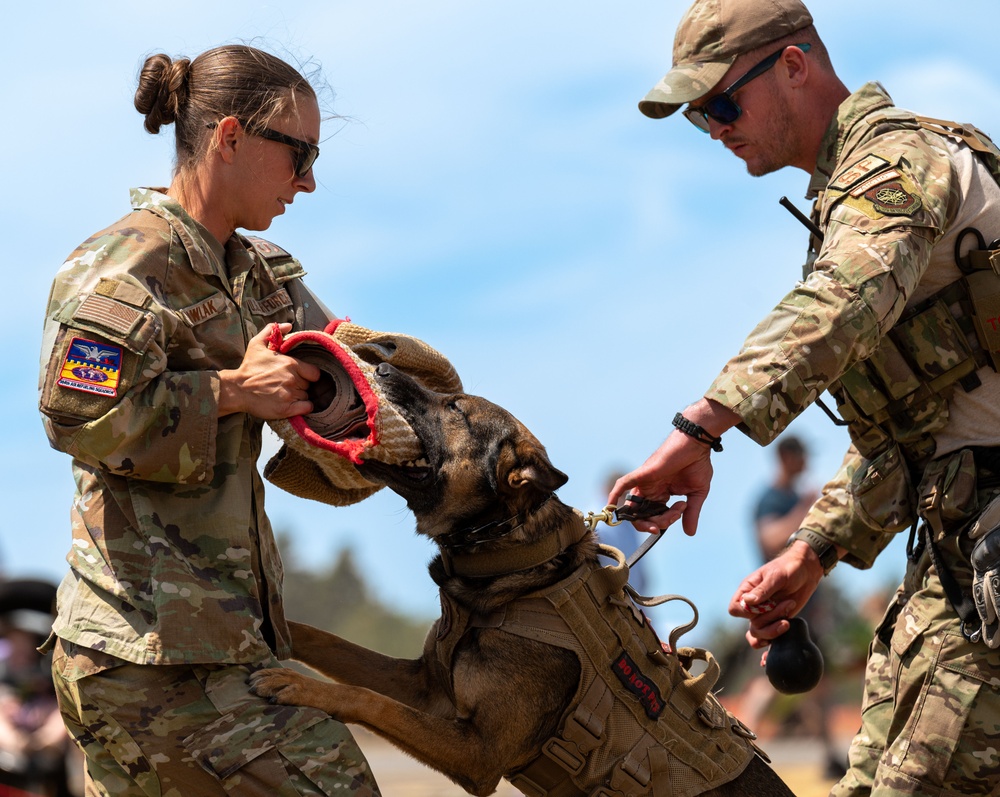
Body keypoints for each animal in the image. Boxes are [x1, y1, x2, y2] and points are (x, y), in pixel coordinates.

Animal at [252, 364, 796, 792]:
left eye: (456, 408)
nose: (380, 367)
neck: (511, 568)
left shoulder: (478, 754)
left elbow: (370, 701)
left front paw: (298, 687)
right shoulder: (424, 685)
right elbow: (327, 642)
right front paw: (272, 625)